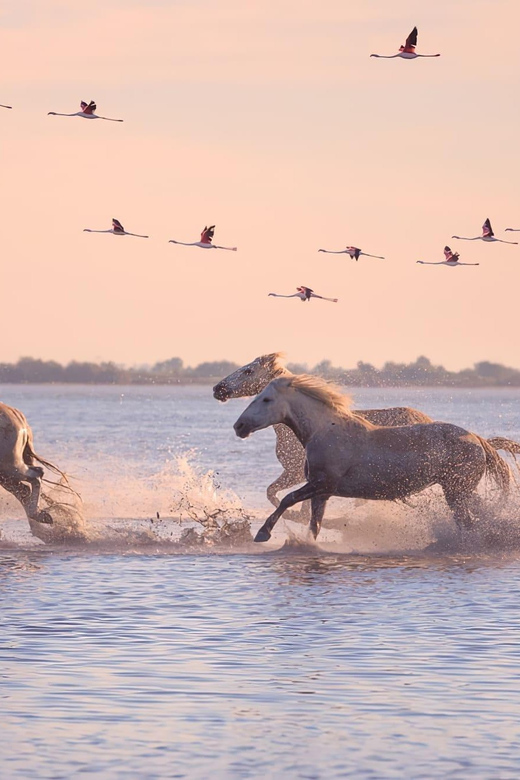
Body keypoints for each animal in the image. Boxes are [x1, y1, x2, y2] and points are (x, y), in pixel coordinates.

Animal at [235, 376, 512, 544]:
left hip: (456, 491)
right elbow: (314, 525)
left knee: (469, 523)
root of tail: (476, 439)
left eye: (266, 399)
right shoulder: (322, 493)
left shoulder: (323, 484)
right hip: (459, 491)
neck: (324, 431)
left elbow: (287, 499)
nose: (239, 426)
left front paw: (263, 533)